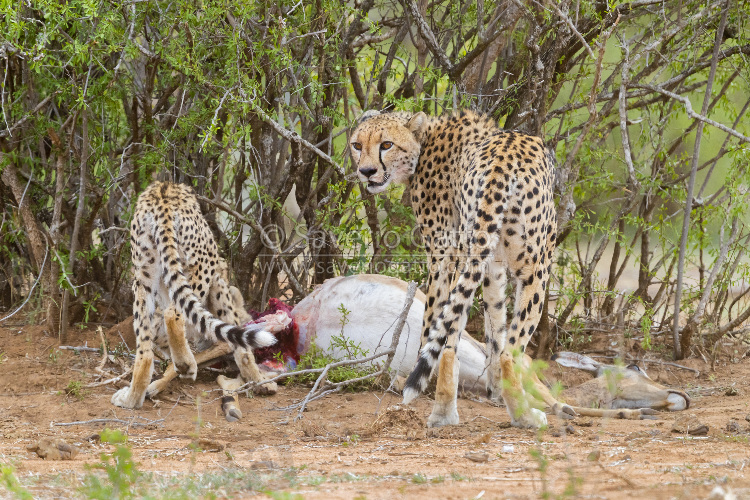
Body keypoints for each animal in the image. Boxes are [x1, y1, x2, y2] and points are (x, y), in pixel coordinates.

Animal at [110, 183, 278, 410]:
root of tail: (162, 191)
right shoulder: (218, 282)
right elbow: (239, 345)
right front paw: (259, 381)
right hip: (202, 266)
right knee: (173, 313)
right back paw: (184, 363)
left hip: (143, 276)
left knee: (145, 348)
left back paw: (133, 398)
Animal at [352, 111, 576, 428]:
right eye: (357, 145)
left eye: (386, 144)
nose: (367, 171)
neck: (426, 140)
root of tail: (502, 161)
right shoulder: (462, 255)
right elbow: (489, 327)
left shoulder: (466, 257)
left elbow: (483, 323)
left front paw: (492, 387)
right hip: (534, 266)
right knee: (505, 350)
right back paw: (522, 416)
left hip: (486, 252)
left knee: (453, 334)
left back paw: (445, 411)